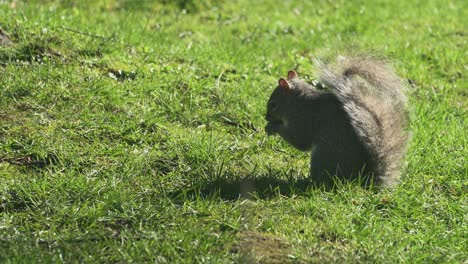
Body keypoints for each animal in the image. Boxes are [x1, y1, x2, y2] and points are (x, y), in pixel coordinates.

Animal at [266, 52, 410, 187]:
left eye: (273, 104)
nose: (266, 117)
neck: (296, 101)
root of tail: (360, 180)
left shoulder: (303, 118)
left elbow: (299, 140)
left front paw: (272, 127)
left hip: (323, 156)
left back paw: (305, 183)